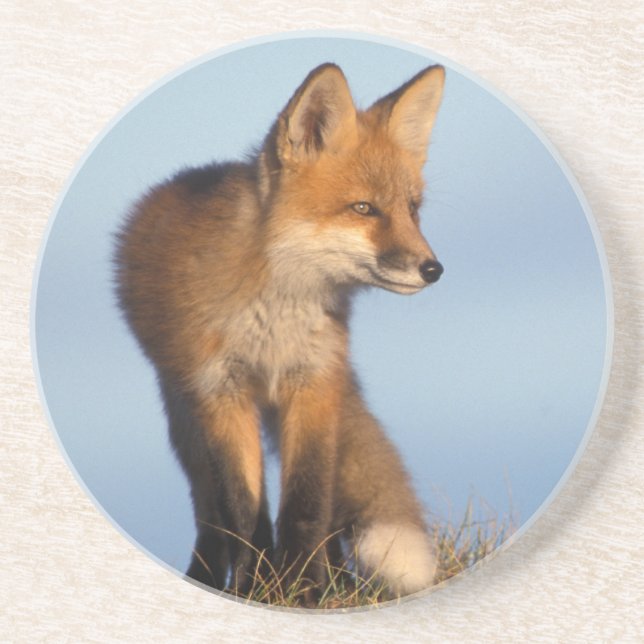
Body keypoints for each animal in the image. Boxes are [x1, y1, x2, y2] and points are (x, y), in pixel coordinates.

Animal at [115, 61, 446, 604]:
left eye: (412, 210)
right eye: (363, 209)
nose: (433, 269)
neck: (274, 314)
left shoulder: (313, 383)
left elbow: (307, 504)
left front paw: (306, 592)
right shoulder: (221, 393)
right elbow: (244, 510)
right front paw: (259, 591)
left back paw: (335, 582)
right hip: (184, 417)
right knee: (211, 514)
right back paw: (215, 578)